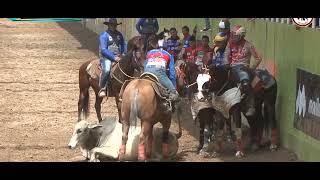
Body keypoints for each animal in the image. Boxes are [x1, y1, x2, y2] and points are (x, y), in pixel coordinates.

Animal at [118, 31, 181, 161]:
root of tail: (137, 88)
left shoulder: (151, 121)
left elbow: (151, 138)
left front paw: (149, 153)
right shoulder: (166, 119)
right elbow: (164, 137)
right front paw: (165, 155)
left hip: (126, 116)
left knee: (125, 135)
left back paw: (122, 155)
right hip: (146, 120)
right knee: (142, 137)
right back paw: (142, 157)